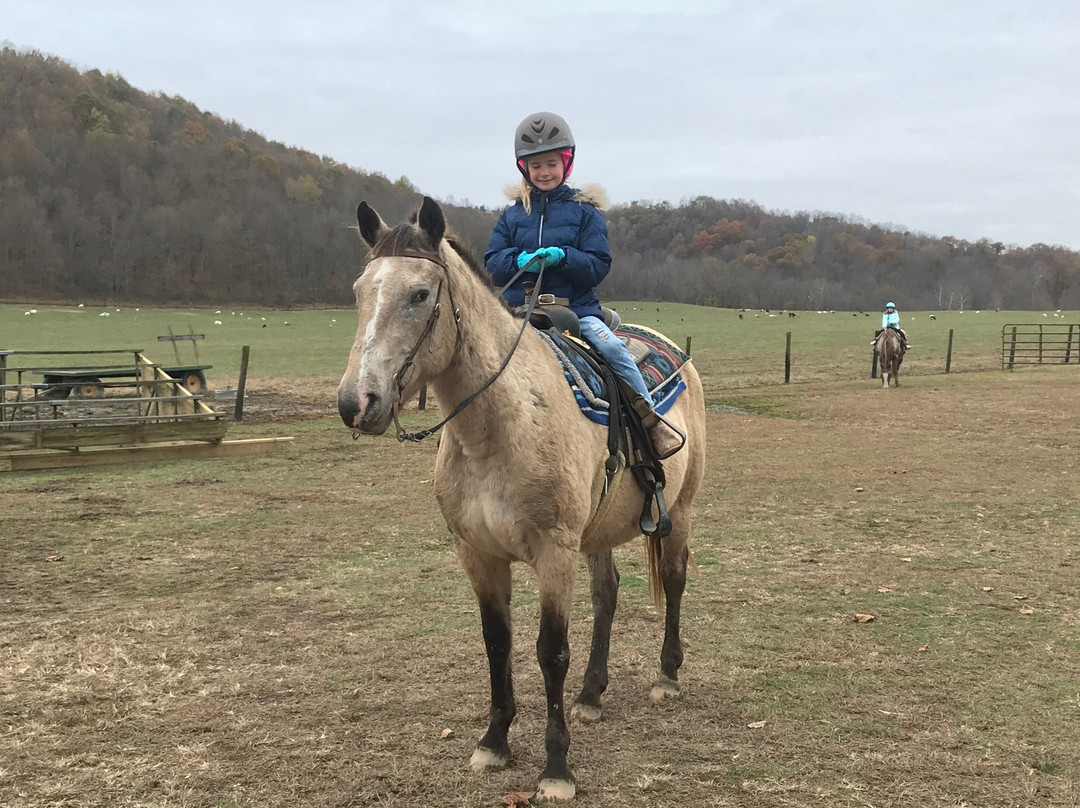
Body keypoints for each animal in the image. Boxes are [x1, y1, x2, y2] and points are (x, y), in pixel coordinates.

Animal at [336, 197, 706, 802]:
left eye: (420, 295)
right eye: (359, 291)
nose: (356, 402)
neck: (495, 431)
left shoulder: (554, 553)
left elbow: (549, 652)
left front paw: (556, 768)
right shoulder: (479, 554)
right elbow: (497, 643)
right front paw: (494, 742)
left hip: (680, 511)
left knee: (673, 582)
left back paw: (668, 676)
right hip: (598, 531)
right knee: (607, 594)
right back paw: (591, 694)